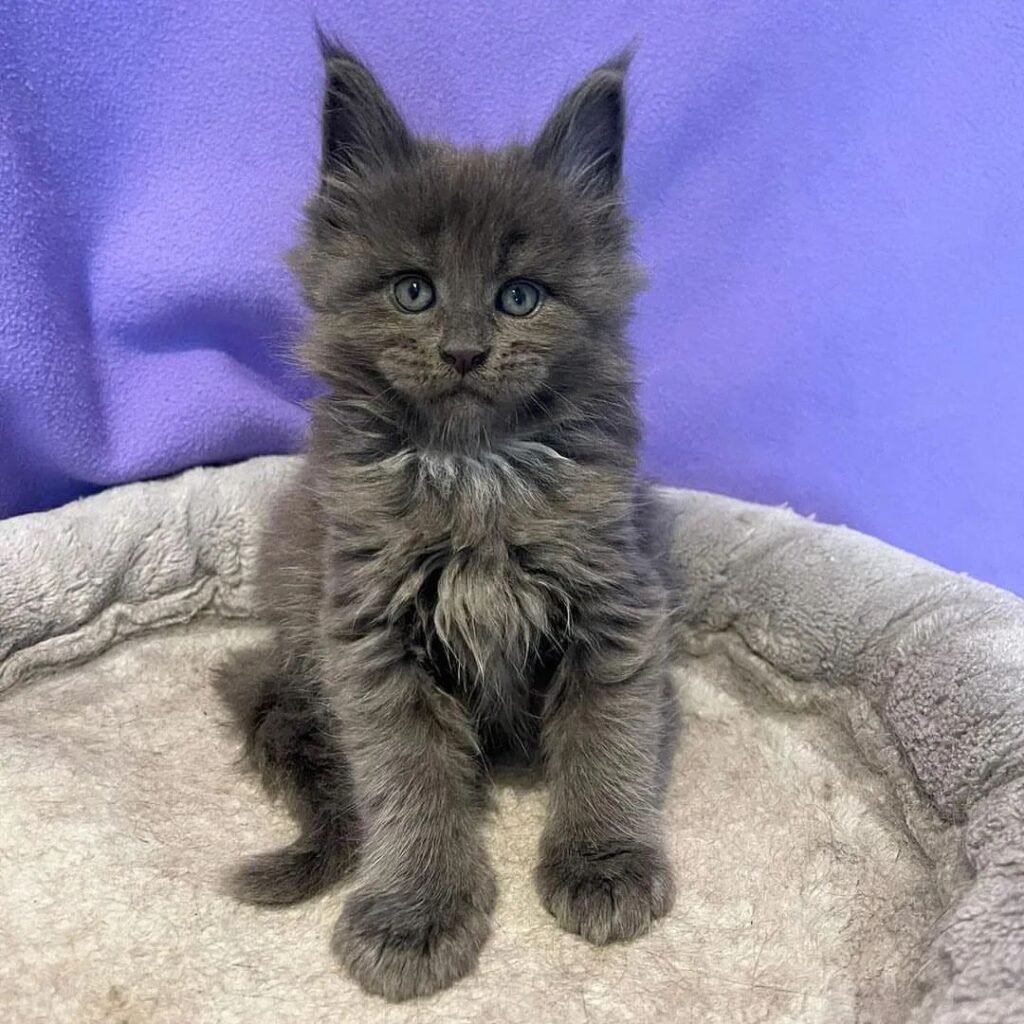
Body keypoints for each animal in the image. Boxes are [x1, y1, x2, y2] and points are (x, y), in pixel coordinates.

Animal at [217, 37, 679, 999]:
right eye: (413, 291)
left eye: (519, 297)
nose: (465, 351)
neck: (474, 473)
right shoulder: (368, 635)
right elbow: (408, 784)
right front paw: (414, 915)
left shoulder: (617, 605)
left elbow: (609, 741)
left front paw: (604, 863)